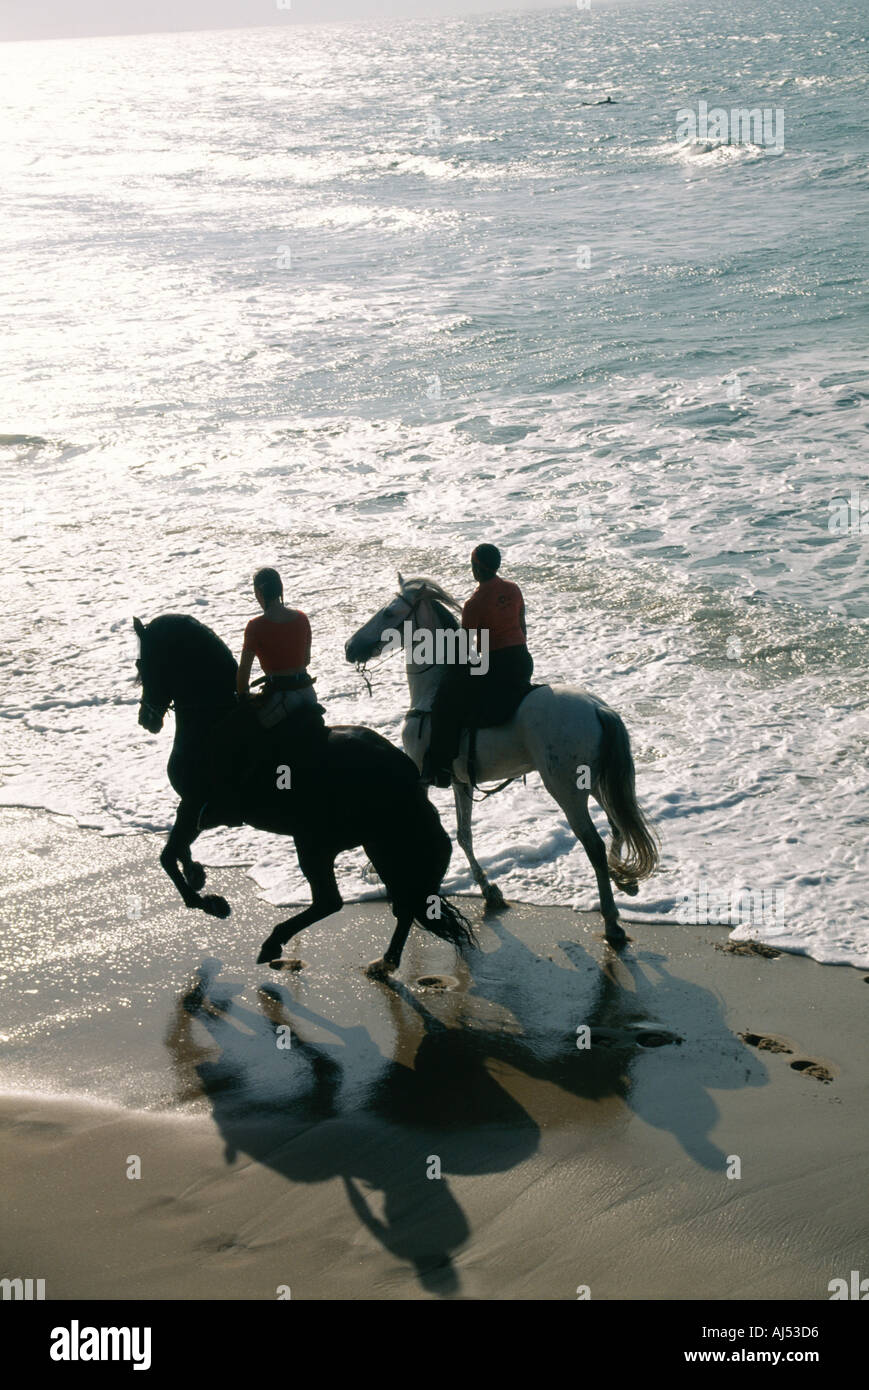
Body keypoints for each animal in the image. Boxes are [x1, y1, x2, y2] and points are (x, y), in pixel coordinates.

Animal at [132, 614, 475, 973]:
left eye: (142, 663)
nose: (147, 719)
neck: (212, 718)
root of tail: (407, 777)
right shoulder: (193, 808)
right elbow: (178, 850)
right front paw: (197, 875)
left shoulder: (194, 804)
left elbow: (168, 856)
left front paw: (210, 902)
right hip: (376, 844)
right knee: (400, 900)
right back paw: (385, 960)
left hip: (317, 842)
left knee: (332, 900)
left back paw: (275, 943)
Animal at [346, 572, 656, 945]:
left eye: (389, 613)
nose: (350, 647)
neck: (432, 691)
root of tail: (598, 709)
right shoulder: (461, 782)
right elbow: (464, 834)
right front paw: (488, 890)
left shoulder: (422, 777)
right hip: (595, 783)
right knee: (617, 827)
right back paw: (624, 880)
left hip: (566, 791)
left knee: (593, 844)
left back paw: (611, 920)